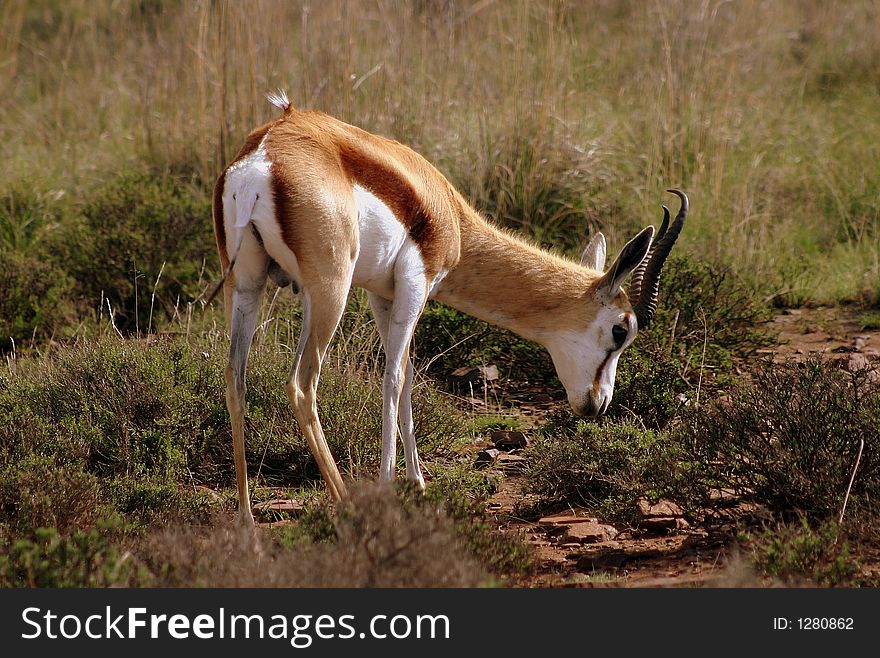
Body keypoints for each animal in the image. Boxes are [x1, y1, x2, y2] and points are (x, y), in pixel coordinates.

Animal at [213, 91, 688, 524]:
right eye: (621, 330)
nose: (598, 403)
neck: (447, 211)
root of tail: (263, 156)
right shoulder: (416, 283)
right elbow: (395, 377)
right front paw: (392, 488)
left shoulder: (381, 294)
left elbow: (405, 377)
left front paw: (418, 483)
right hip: (329, 291)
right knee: (302, 382)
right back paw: (346, 504)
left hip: (246, 285)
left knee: (235, 377)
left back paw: (247, 524)